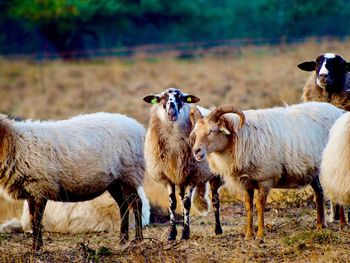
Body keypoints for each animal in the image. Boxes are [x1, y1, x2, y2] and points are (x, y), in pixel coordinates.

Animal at [0, 112, 148, 251]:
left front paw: (36, 248)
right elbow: (34, 219)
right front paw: (37, 246)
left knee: (136, 203)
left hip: (129, 173)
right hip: (114, 181)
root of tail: (138, 127)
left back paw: (138, 239)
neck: (14, 143)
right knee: (123, 204)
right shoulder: (31, 191)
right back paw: (122, 240)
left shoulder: (39, 187)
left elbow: (37, 220)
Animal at [143, 87, 223, 240]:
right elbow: (173, 203)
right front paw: (172, 234)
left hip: (214, 175)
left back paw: (218, 229)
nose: (171, 112)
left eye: (181, 97)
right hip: (180, 179)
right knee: (180, 197)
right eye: (162, 98)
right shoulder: (168, 177)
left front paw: (185, 233)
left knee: (216, 200)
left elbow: (186, 203)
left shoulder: (193, 175)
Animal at [190, 102, 344, 240]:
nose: (196, 151)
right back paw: (320, 226)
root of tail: (338, 111)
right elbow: (248, 207)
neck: (240, 137)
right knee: (319, 193)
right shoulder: (247, 182)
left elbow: (259, 206)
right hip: (314, 172)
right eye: (196, 132)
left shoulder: (265, 179)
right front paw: (248, 235)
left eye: (212, 130)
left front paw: (260, 235)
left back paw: (342, 225)